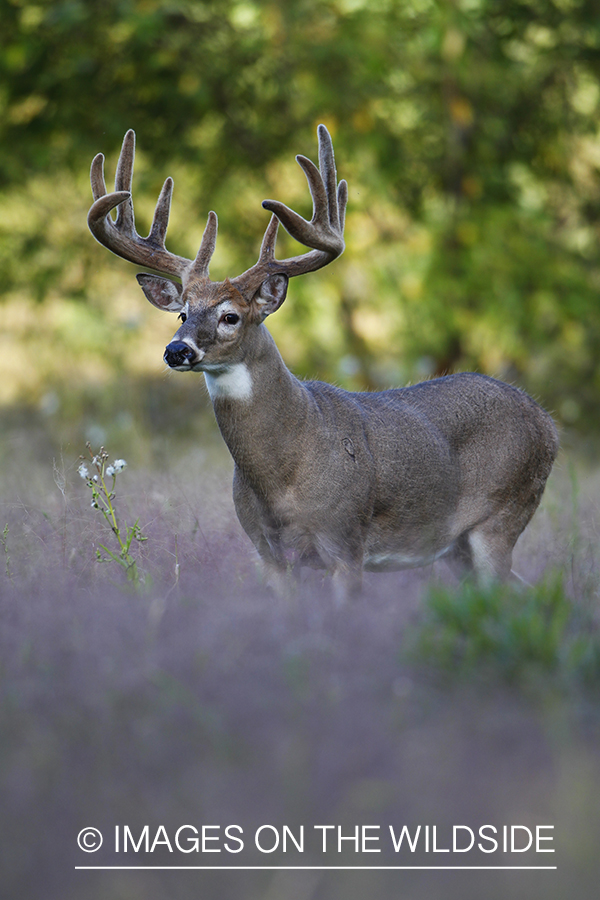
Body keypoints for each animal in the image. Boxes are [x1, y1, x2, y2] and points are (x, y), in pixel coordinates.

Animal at [88, 123, 556, 600]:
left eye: (230, 316)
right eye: (182, 313)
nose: (176, 350)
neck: (285, 472)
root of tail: (544, 419)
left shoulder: (346, 542)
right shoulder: (269, 553)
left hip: (502, 515)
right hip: (457, 548)